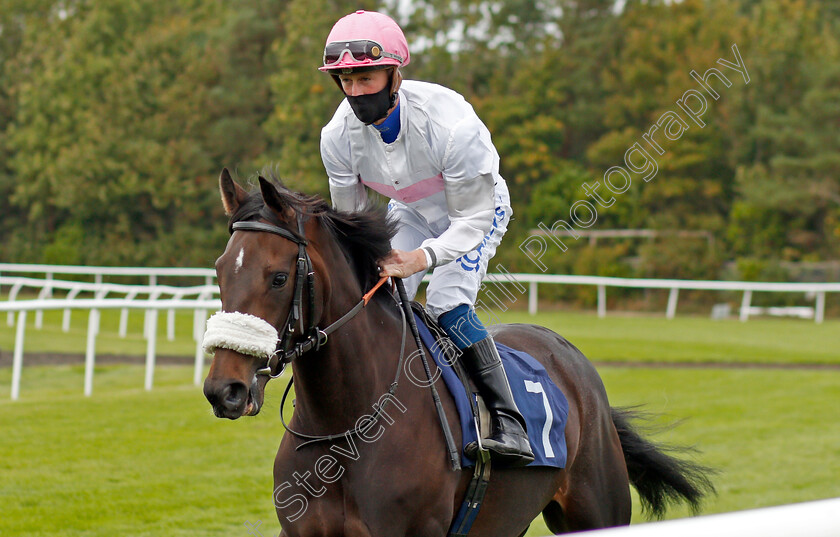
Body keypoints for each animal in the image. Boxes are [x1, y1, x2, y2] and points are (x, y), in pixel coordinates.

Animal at [203, 169, 716, 536]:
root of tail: (570, 356)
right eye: (221, 270)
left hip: (597, 510)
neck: (348, 425)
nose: (224, 389)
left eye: (278, 277)